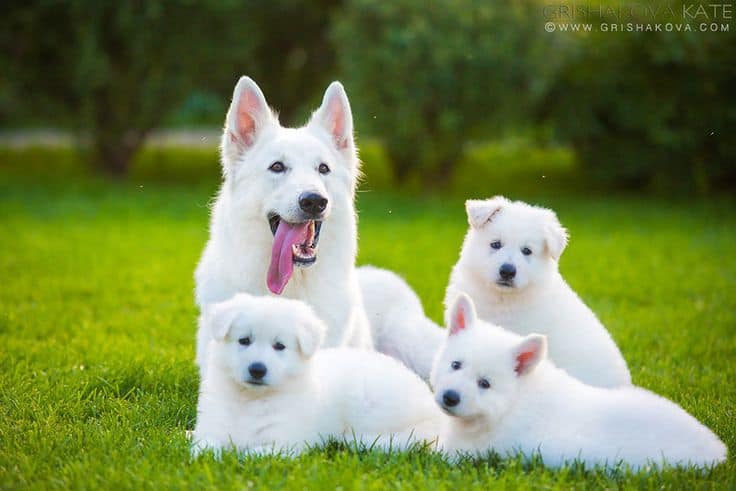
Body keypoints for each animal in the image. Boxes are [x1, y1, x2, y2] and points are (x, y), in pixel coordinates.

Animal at [191, 292, 442, 458]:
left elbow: (254, 453)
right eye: (244, 340)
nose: (257, 369)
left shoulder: (285, 440)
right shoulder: (213, 425)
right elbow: (205, 446)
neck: (250, 399)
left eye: (279, 346)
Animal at [432, 294, 724, 470]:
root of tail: (718, 451)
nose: (450, 397)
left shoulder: (471, 452)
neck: (513, 402)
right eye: (455, 365)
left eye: (485, 384)